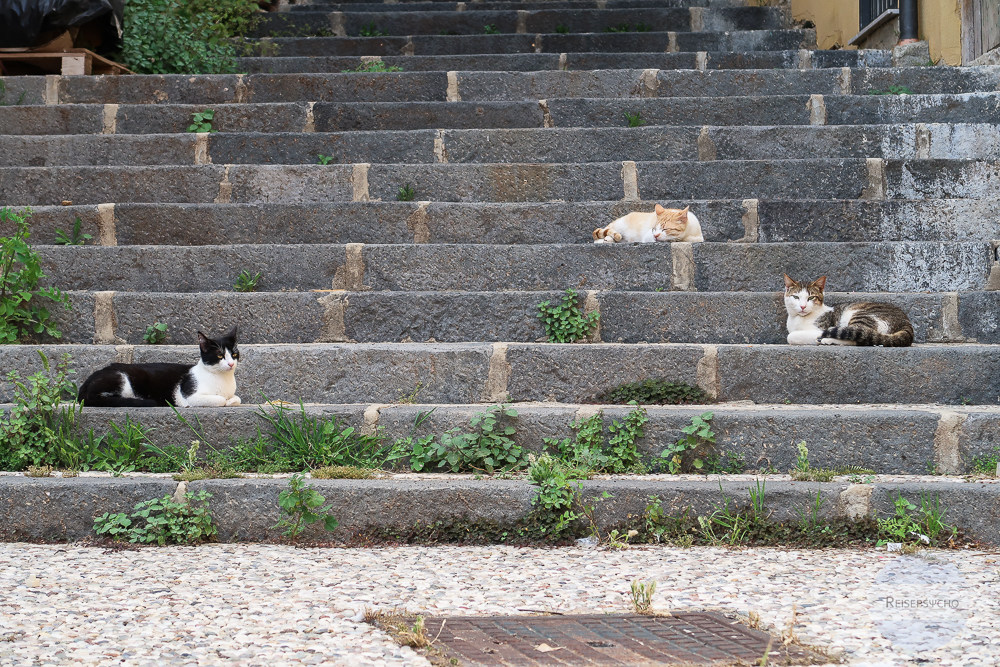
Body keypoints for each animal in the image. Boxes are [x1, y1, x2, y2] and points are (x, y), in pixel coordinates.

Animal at [78, 328, 242, 408]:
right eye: (220, 355)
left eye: (234, 354)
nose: (231, 364)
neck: (222, 379)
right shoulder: (190, 396)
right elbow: (220, 399)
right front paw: (226, 401)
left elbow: (237, 398)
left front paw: (231, 400)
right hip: (122, 379)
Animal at [780, 276, 916, 350]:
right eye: (796, 297)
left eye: (811, 298)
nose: (802, 306)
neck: (797, 319)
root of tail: (905, 320)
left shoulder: (819, 329)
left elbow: (791, 336)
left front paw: (817, 338)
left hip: (860, 315)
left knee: (859, 337)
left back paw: (827, 339)